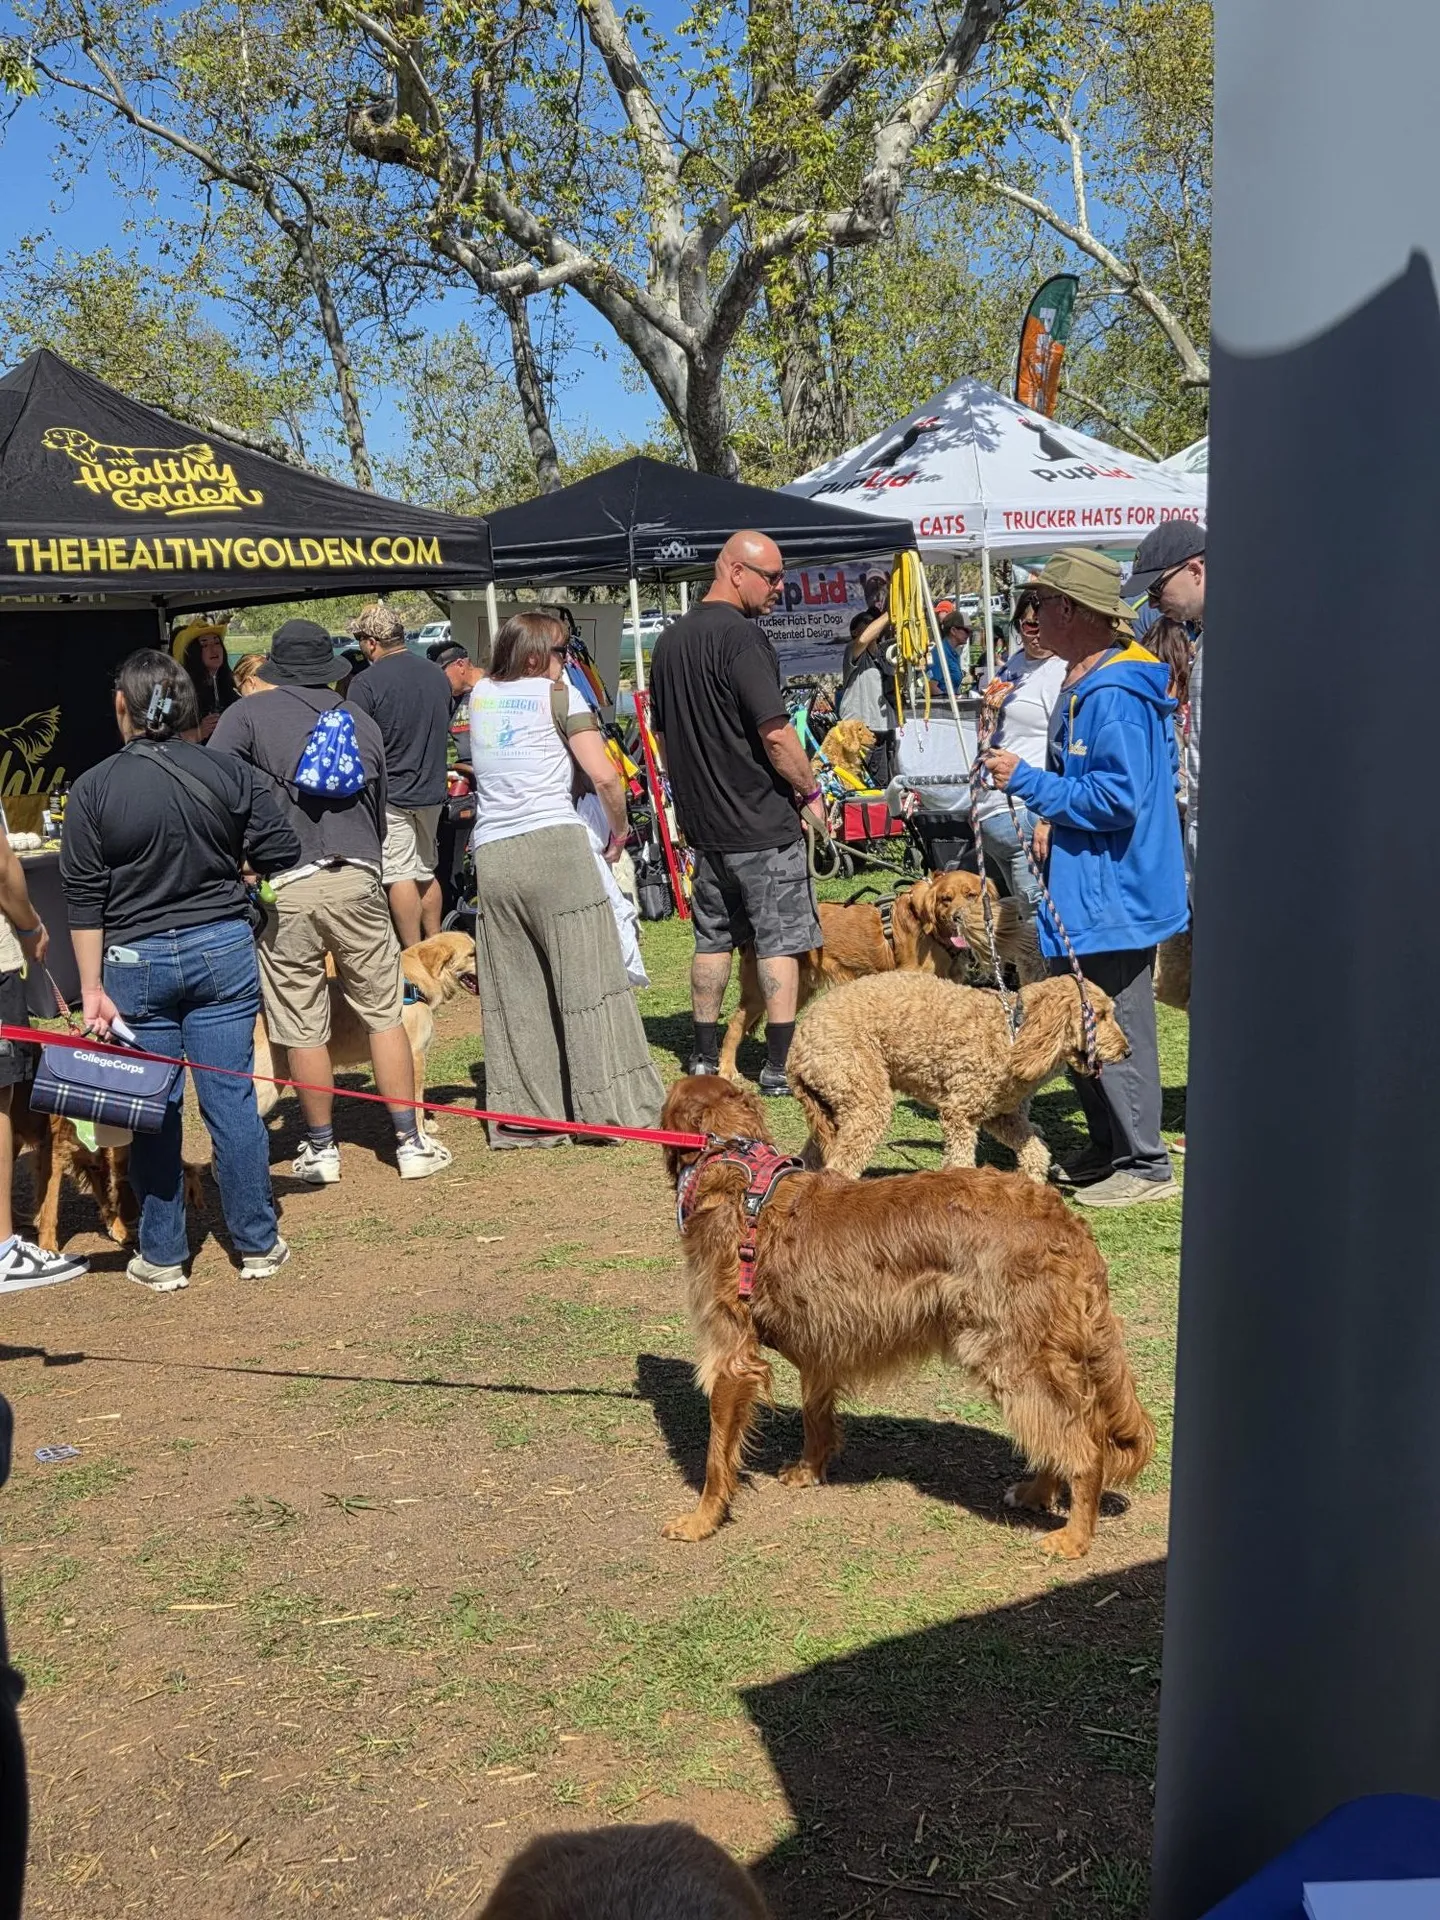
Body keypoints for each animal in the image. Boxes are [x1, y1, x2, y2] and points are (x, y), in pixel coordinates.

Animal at [252, 930, 477, 1127]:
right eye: (471, 954)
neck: (415, 981)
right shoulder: (414, 1056)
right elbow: (416, 1104)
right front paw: (422, 1137)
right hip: (266, 1086)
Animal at [659, 1076, 1154, 1558]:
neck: (737, 1171)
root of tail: (1066, 1222)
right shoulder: (820, 1344)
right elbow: (815, 1418)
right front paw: (809, 1471)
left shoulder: (732, 1358)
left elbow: (716, 1455)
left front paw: (701, 1520)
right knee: (1059, 1431)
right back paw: (1036, 1493)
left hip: (1011, 1356)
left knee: (1085, 1448)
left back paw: (1073, 1538)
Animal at [787, 971, 1129, 1181]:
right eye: (1099, 1017)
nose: (1127, 1051)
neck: (1013, 1032)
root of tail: (797, 1044)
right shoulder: (960, 1112)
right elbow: (961, 1162)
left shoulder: (1000, 1114)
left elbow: (1036, 1152)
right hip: (863, 1095)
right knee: (841, 1164)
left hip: (832, 1109)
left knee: (813, 1158)